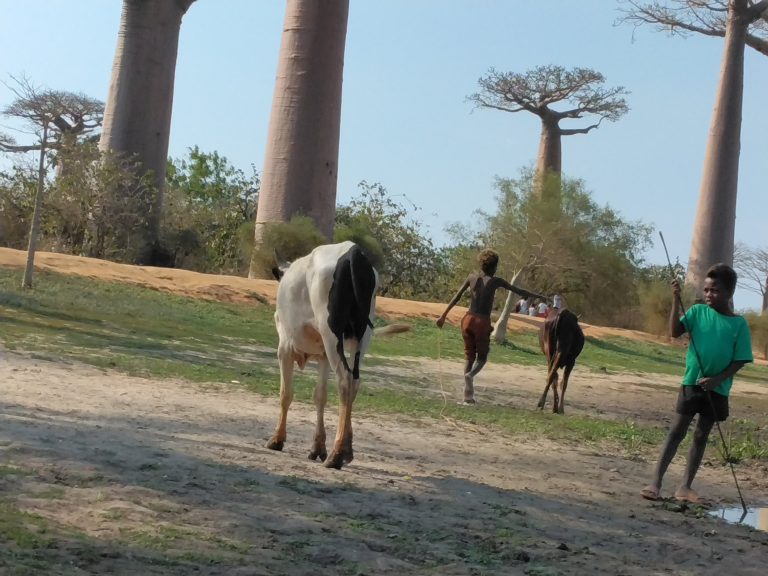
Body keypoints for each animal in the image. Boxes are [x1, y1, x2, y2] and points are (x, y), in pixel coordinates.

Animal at [265, 241, 407, 469]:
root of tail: (352, 251)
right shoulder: (323, 355)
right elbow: (319, 396)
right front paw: (317, 447)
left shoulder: (284, 347)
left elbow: (286, 394)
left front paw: (277, 439)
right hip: (361, 337)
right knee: (355, 381)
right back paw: (346, 449)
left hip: (331, 333)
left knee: (345, 380)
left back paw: (337, 454)